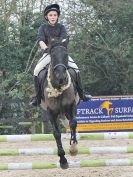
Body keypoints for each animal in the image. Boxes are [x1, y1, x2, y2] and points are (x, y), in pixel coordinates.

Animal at [39, 38, 79, 169]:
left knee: (70, 123)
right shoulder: (51, 112)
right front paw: (63, 160)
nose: (61, 77)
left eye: (66, 55)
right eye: (53, 55)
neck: (59, 87)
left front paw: (73, 149)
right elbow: (56, 134)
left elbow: (73, 123)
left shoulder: (71, 105)